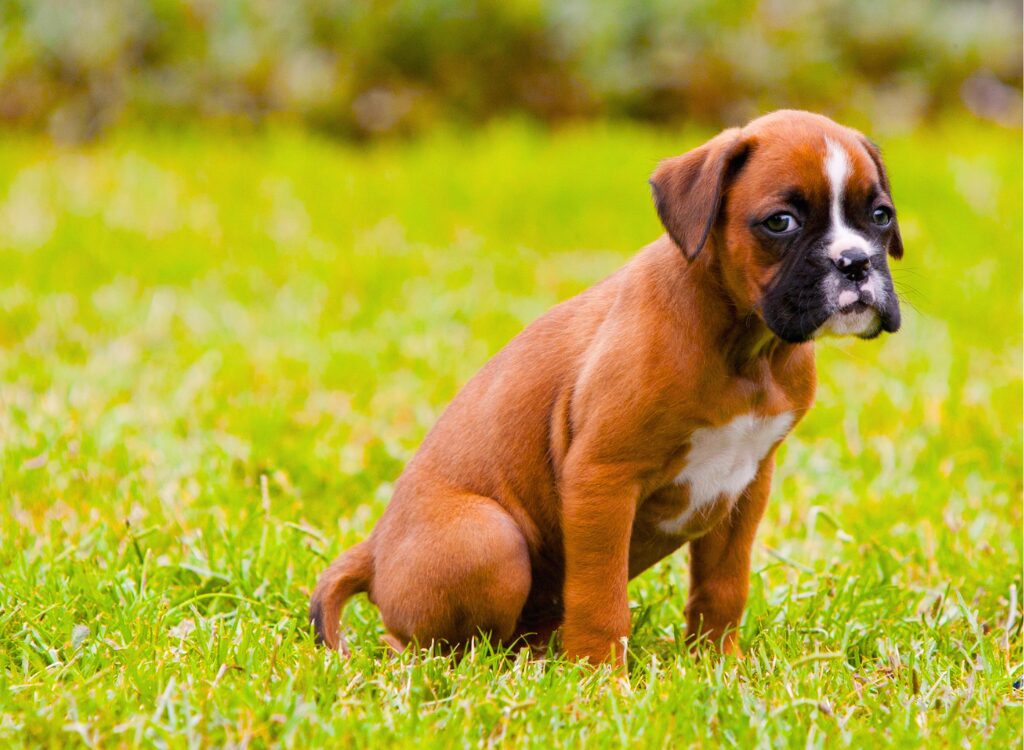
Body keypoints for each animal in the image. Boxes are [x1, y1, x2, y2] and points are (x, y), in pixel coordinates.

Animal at [309, 109, 905, 663]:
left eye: (881, 216)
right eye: (780, 222)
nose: (855, 262)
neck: (746, 348)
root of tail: (375, 548)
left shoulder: (747, 485)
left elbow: (723, 586)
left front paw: (718, 664)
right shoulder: (602, 479)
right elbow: (601, 595)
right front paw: (600, 677)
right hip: (488, 538)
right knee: (418, 645)